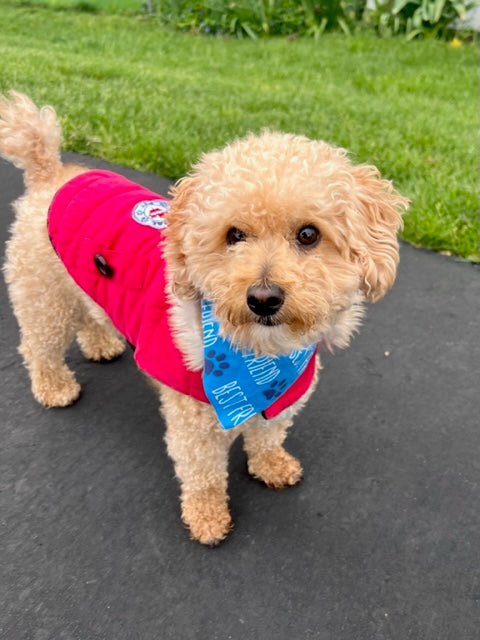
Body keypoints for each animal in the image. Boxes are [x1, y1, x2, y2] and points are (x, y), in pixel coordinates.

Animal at [0, 90, 406, 544]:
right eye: (234, 235)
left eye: (308, 234)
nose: (262, 298)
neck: (259, 357)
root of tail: (52, 173)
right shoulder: (195, 419)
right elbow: (203, 472)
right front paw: (207, 516)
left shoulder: (286, 392)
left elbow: (267, 434)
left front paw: (270, 464)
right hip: (44, 294)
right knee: (39, 345)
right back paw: (54, 386)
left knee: (91, 314)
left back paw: (101, 343)